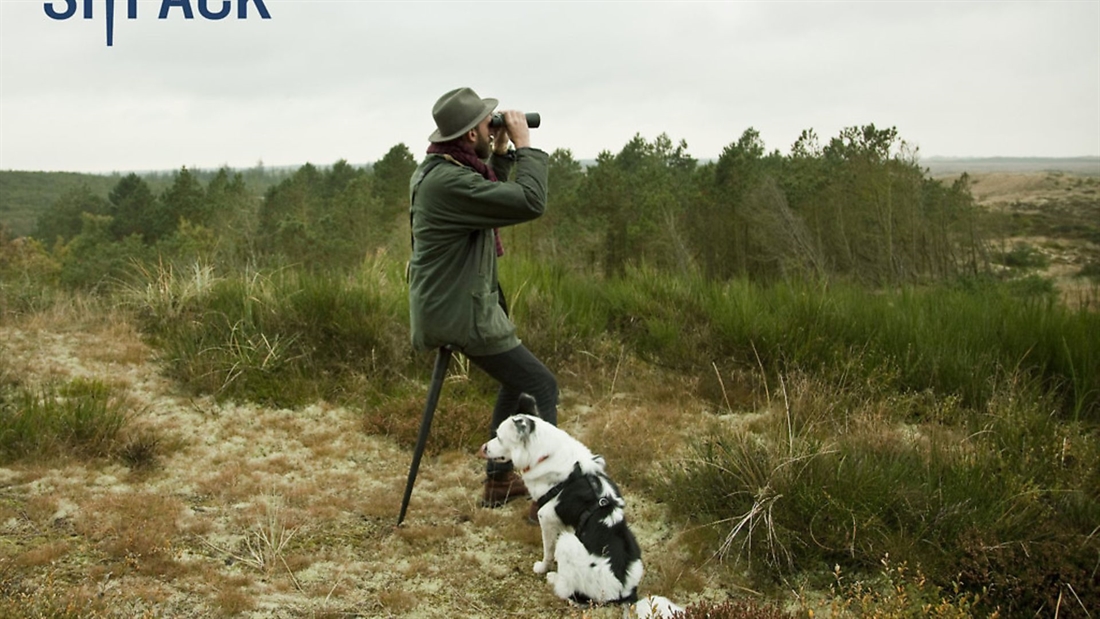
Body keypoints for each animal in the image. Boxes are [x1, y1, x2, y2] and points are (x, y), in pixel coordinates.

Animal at [475, 415, 642, 606]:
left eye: (499, 438)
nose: (483, 448)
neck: (545, 453)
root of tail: (622, 593)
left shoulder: (545, 518)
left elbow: (548, 550)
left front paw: (542, 567)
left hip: (567, 542)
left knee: (566, 590)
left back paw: (553, 577)